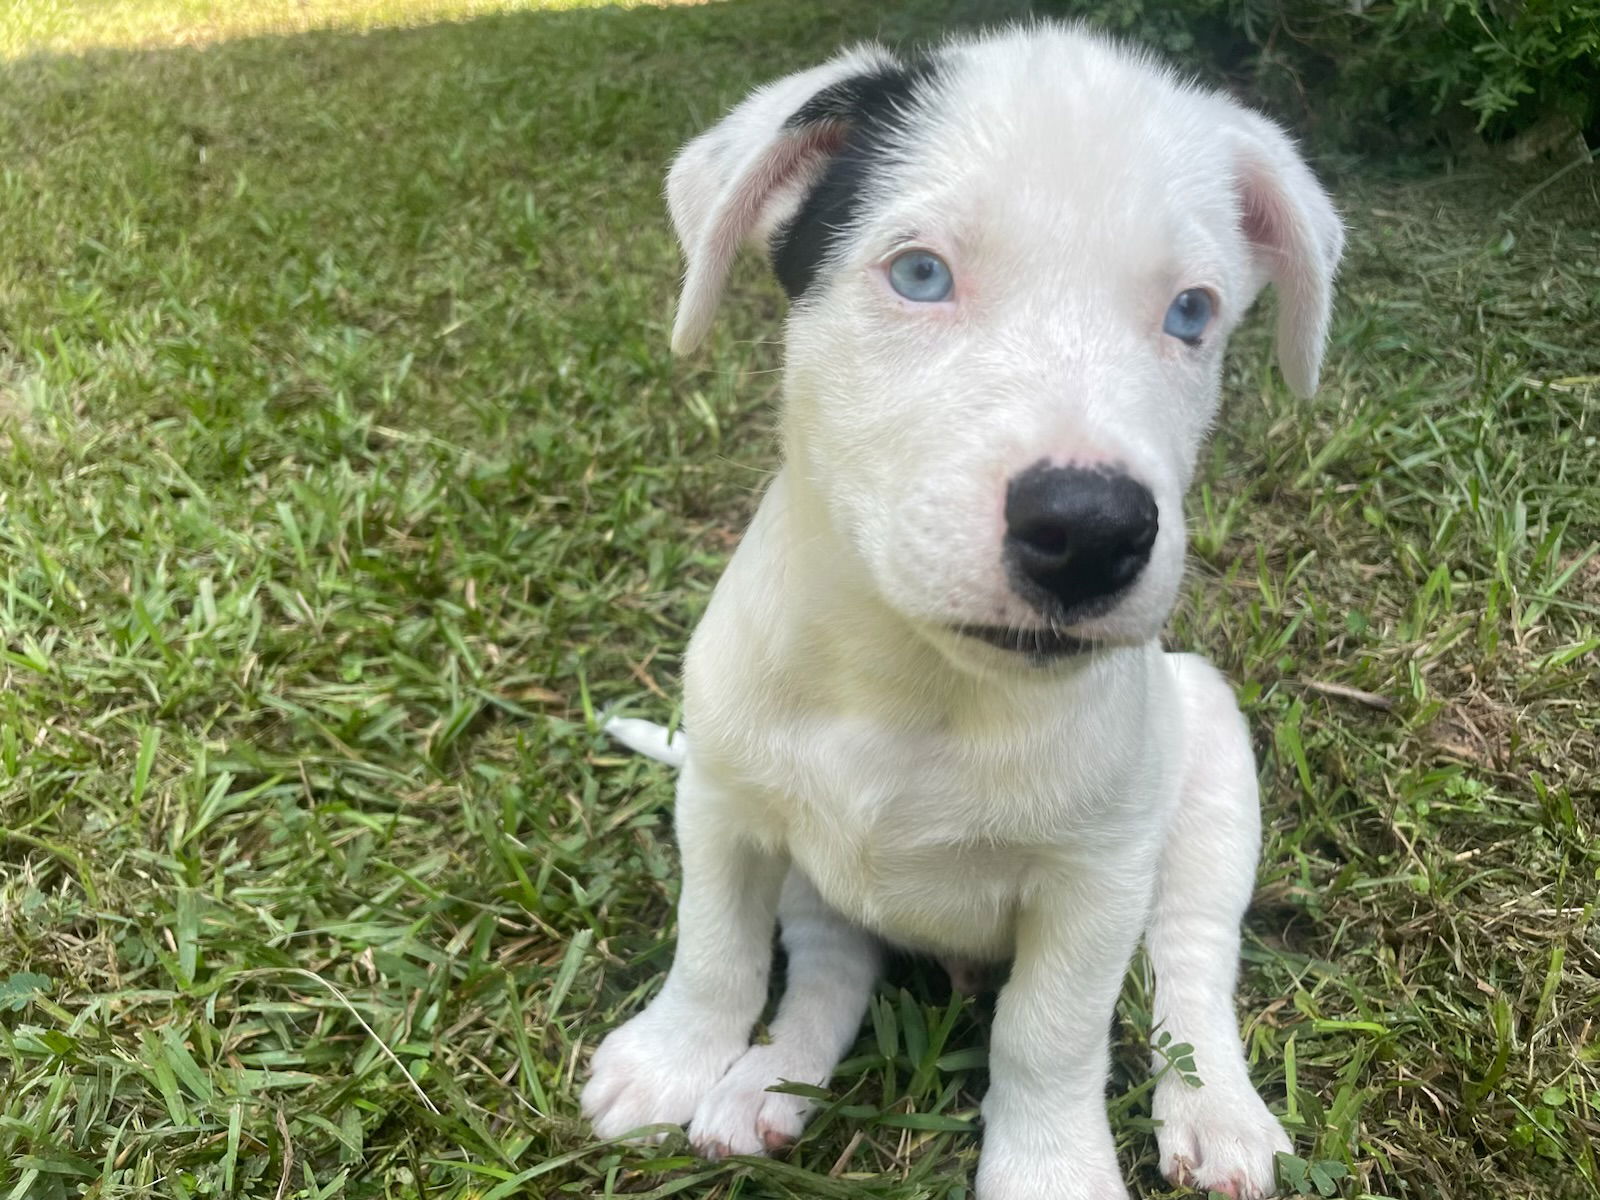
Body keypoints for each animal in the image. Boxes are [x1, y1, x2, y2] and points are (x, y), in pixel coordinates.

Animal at [582, 21, 1344, 1200]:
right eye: (919, 273)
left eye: (1191, 312)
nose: (1091, 532)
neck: (914, 684)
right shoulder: (723, 803)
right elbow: (714, 949)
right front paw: (673, 1059)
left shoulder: (1092, 887)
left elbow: (1049, 1035)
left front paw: (1049, 1170)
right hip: (817, 877)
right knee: (831, 967)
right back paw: (761, 1089)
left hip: (1209, 766)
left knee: (1190, 963)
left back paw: (1216, 1112)